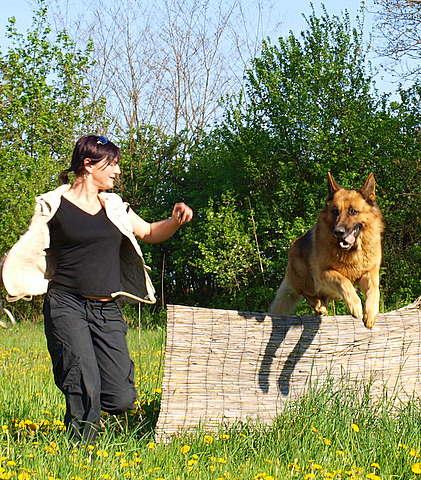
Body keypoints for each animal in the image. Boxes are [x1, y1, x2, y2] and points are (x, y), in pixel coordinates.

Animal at [270, 173, 384, 330]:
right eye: (335, 212)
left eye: (353, 211)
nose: (338, 232)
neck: (351, 252)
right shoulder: (324, 274)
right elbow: (344, 281)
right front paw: (355, 306)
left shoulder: (369, 273)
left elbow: (374, 290)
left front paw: (371, 313)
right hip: (307, 281)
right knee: (308, 295)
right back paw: (319, 307)